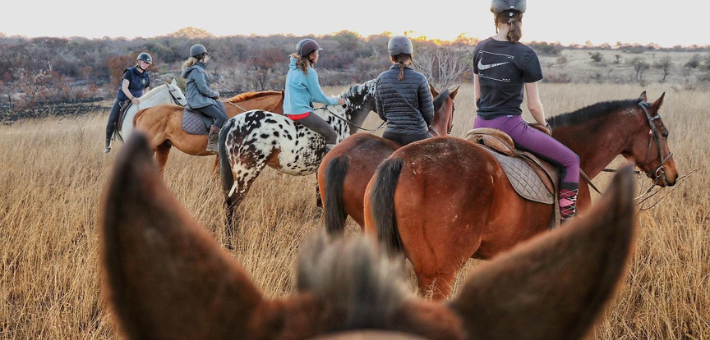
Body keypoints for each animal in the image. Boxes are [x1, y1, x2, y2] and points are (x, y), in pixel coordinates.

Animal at [220, 78, 382, 243]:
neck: (342, 117)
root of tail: (233, 122)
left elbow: (319, 201)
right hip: (246, 174)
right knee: (231, 204)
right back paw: (230, 242)